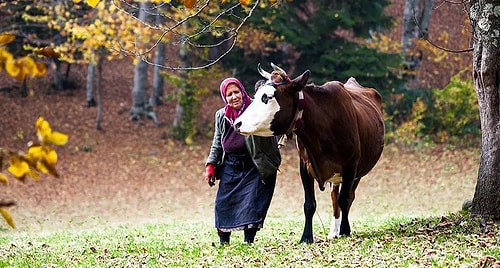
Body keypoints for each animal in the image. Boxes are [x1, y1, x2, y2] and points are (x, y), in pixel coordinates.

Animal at [234, 63, 386, 243]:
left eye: (267, 97)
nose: (237, 123)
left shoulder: (351, 166)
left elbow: (345, 199)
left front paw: (345, 230)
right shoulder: (304, 167)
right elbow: (309, 204)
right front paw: (306, 237)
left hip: (358, 172)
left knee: (347, 197)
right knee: (334, 198)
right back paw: (333, 231)